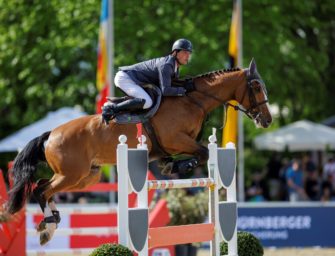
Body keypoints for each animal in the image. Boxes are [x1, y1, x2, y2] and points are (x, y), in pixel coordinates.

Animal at [5, 58, 272, 244]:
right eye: (256, 86)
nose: (267, 120)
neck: (192, 100)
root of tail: (51, 134)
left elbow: (198, 154)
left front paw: (170, 165)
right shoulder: (176, 139)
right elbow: (203, 153)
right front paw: (178, 166)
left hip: (85, 176)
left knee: (43, 186)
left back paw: (50, 223)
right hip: (71, 174)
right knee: (40, 190)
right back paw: (48, 227)